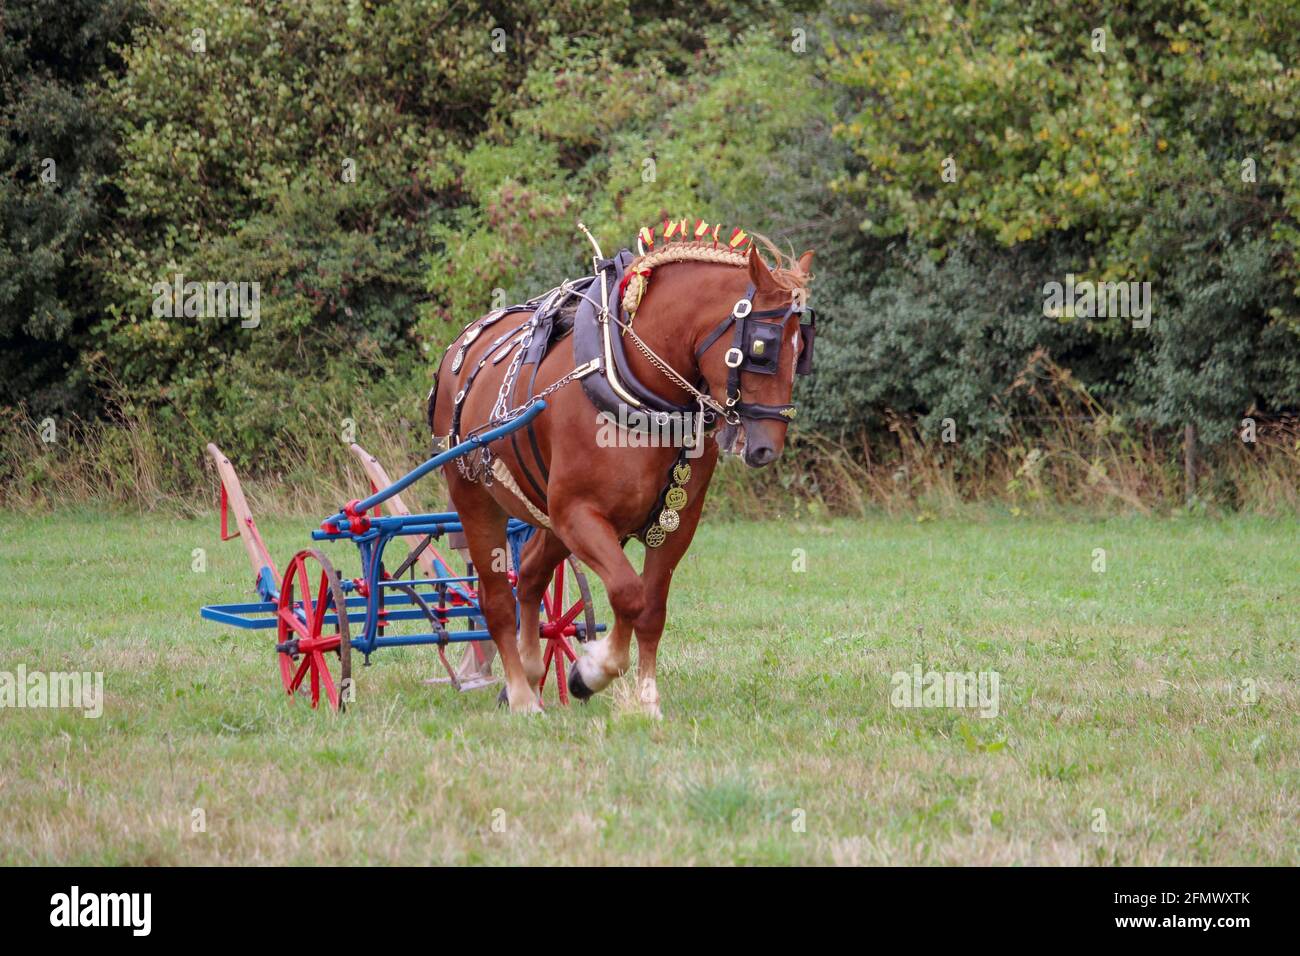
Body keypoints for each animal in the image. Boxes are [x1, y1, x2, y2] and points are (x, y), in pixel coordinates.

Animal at [428, 230, 814, 715]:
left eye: (803, 351)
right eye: (763, 347)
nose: (766, 447)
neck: (638, 390)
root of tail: (459, 346)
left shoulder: (674, 524)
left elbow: (650, 608)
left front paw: (646, 699)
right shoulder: (579, 514)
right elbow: (628, 593)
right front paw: (593, 671)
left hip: (549, 516)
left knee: (532, 574)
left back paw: (533, 672)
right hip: (475, 497)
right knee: (497, 598)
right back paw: (520, 694)